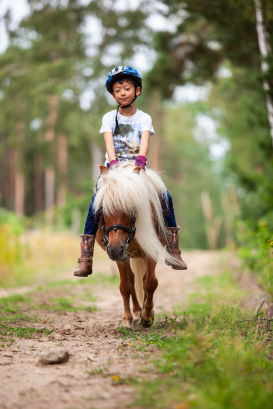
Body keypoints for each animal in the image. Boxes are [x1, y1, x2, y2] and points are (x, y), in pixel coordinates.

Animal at [93, 161, 174, 326]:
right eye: (102, 209)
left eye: (131, 209)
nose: (115, 250)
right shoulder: (121, 256)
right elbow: (125, 286)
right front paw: (127, 319)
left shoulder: (151, 250)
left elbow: (150, 282)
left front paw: (148, 315)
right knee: (132, 278)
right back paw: (136, 312)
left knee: (143, 279)